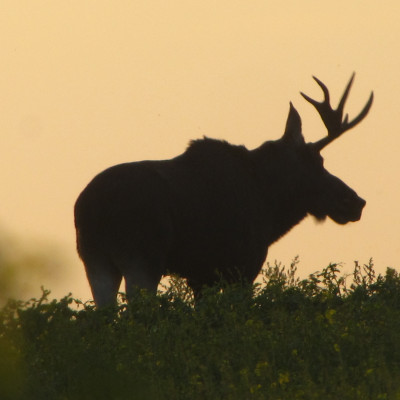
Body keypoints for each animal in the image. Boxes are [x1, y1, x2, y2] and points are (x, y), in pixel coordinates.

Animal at [74, 74, 372, 306]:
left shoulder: (200, 275)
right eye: (318, 161)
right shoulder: (244, 265)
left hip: (95, 259)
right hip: (142, 257)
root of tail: (91, 208)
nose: (354, 201)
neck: (270, 208)